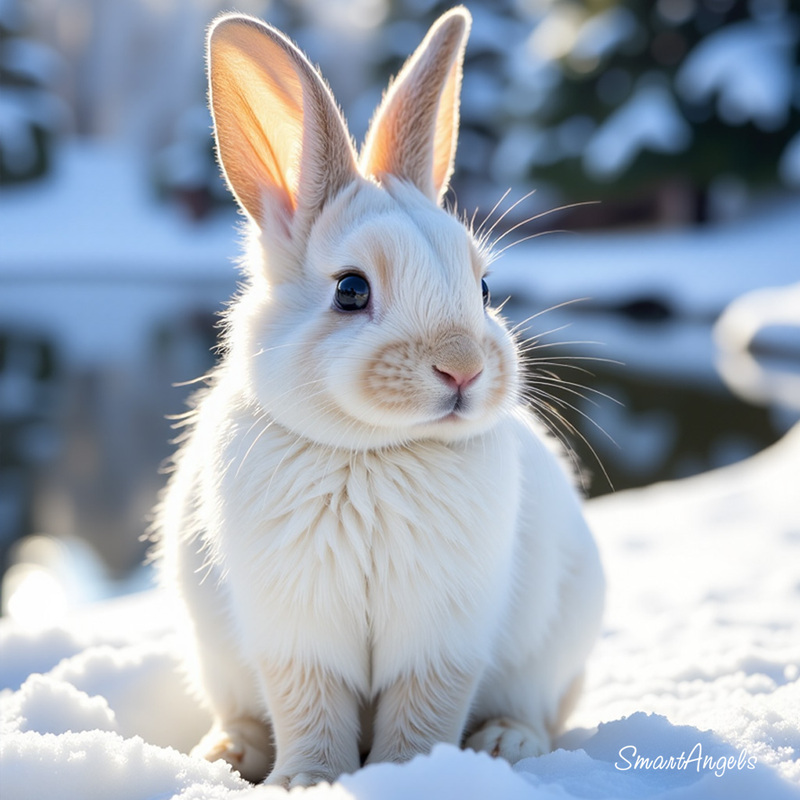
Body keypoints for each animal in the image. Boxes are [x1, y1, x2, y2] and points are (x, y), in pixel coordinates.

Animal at [153, 4, 604, 788]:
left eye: (485, 288)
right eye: (351, 290)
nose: (462, 370)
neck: (372, 451)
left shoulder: (442, 634)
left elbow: (422, 707)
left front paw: (409, 774)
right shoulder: (295, 632)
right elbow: (309, 703)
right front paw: (308, 781)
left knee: (538, 709)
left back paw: (505, 743)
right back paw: (230, 752)